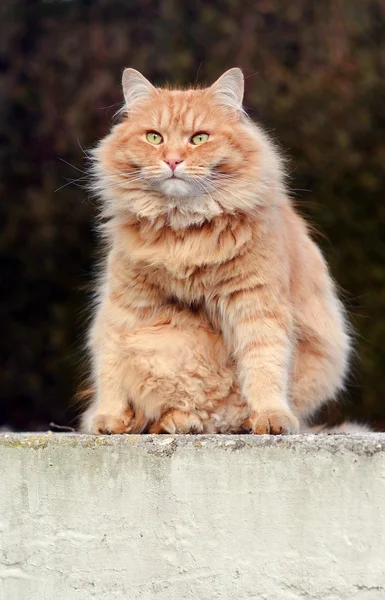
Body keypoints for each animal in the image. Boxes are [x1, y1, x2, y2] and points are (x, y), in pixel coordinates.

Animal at [80, 68, 352, 436]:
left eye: (199, 139)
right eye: (154, 138)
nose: (172, 160)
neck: (183, 230)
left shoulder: (255, 302)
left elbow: (264, 364)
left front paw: (271, 417)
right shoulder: (125, 305)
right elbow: (110, 363)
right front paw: (109, 418)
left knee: (218, 412)